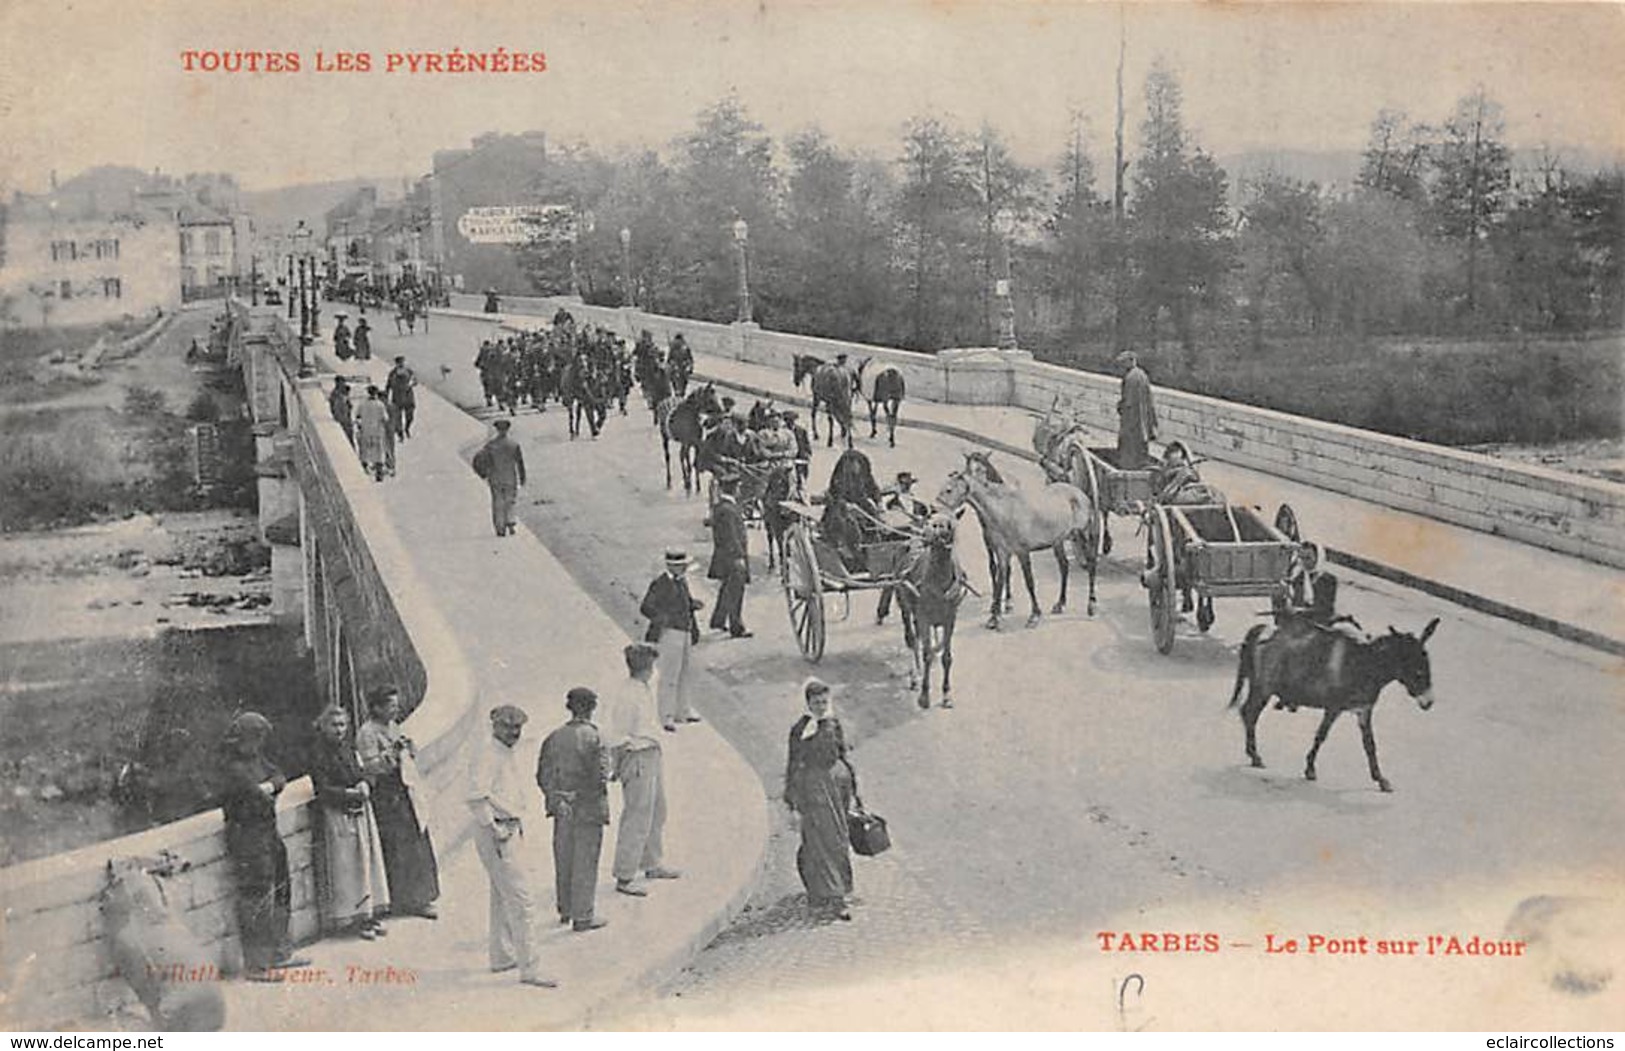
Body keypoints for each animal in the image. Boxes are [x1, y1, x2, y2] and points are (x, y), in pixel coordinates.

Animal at [1222, 617, 1443, 789]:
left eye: (1428, 666)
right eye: (1418, 671)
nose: (1429, 702)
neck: (1365, 663)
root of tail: (1263, 628)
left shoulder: (1364, 710)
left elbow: (1370, 745)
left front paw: (1380, 779)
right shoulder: (1334, 708)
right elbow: (1321, 735)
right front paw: (1310, 769)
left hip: (1259, 687)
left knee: (1246, 713)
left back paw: (1252, 754)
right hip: (1263, 688)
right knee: (1250, 714)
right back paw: (1255, 756)